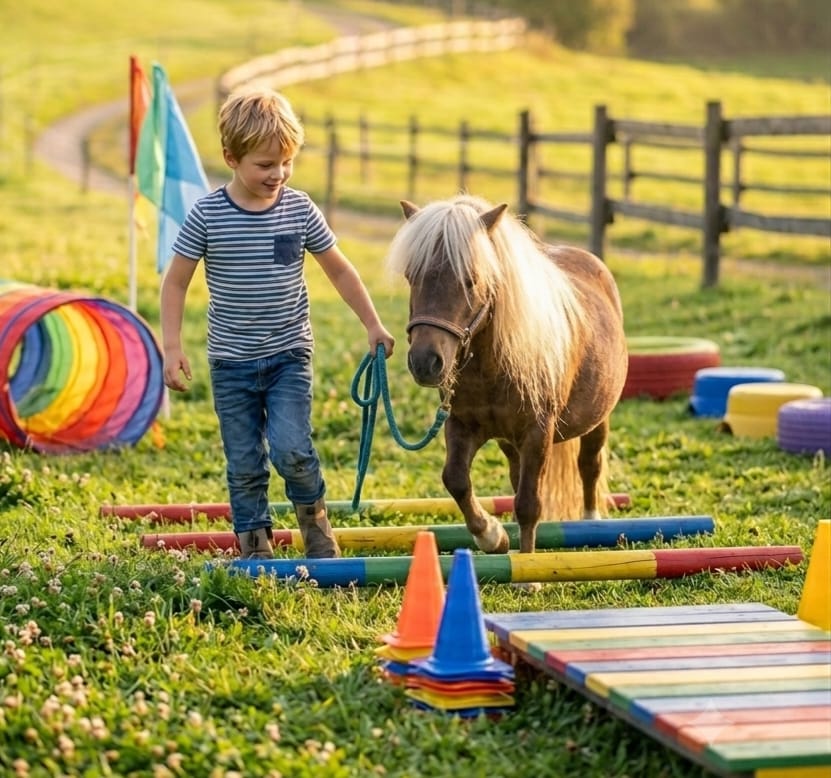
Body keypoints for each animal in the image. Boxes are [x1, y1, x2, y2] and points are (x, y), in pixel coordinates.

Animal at [385, 194, 628, 554]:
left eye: (471, 279)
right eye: (411, 275)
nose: (425, 362)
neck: (490, 369)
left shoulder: (537, 433)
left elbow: (529, 504)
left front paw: (525, 564)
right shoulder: (461, 425)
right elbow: (456, 479)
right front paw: (492, 536)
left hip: (597, 421)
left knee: (589, 465)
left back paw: (590, 521)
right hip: (509, 441)